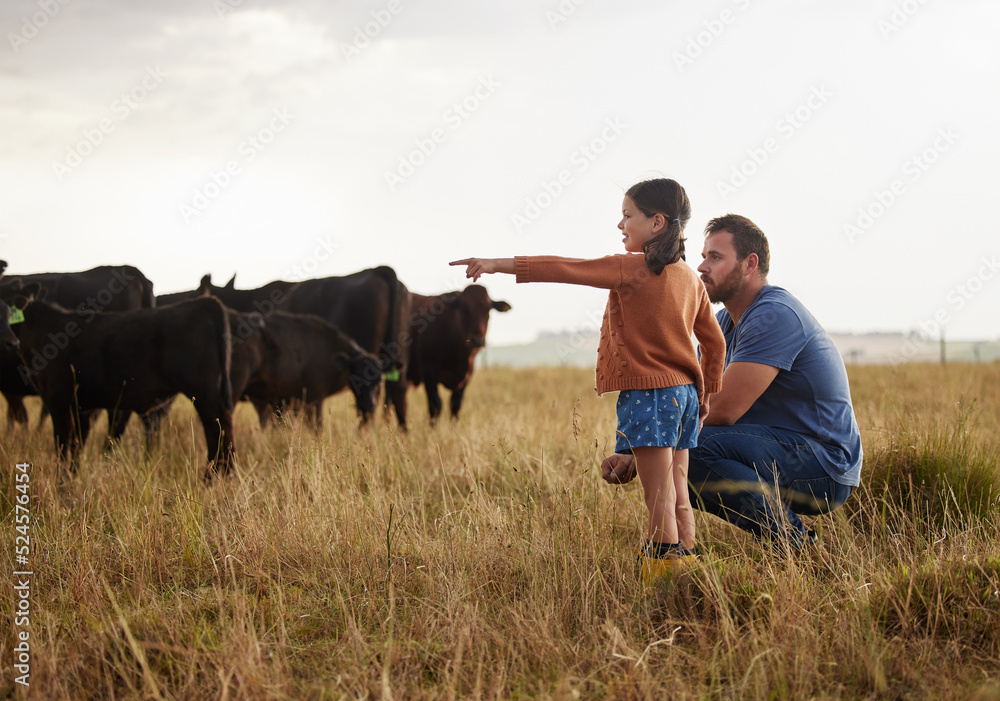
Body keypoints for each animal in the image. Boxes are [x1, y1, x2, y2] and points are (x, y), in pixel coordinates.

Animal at [8, 292, 234, 474]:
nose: (10, 343)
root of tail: (206, 302)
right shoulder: (81, 408)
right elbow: (76, 447)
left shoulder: (58, 401)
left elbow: (63, 447)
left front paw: (62, 484)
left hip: (204, 393)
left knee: (219, 429)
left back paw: (215, 476)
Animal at [406, 284, 512, 422]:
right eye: (464, 309)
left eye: (487, 310)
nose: (477, 340)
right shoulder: (428, 373)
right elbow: (435, 406)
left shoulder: (466, 378)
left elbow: (455, 407)